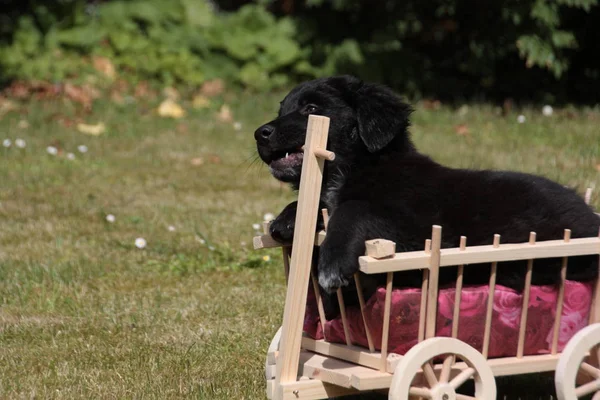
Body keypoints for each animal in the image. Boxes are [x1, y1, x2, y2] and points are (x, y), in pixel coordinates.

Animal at [254, 76, 600, 316]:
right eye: (282, 110)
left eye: (311, 109)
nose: (259, 133)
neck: (360, 168)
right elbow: (320, 205)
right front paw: (287, 218)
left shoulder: (414, 230)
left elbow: (355, 209)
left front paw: (333, 262)